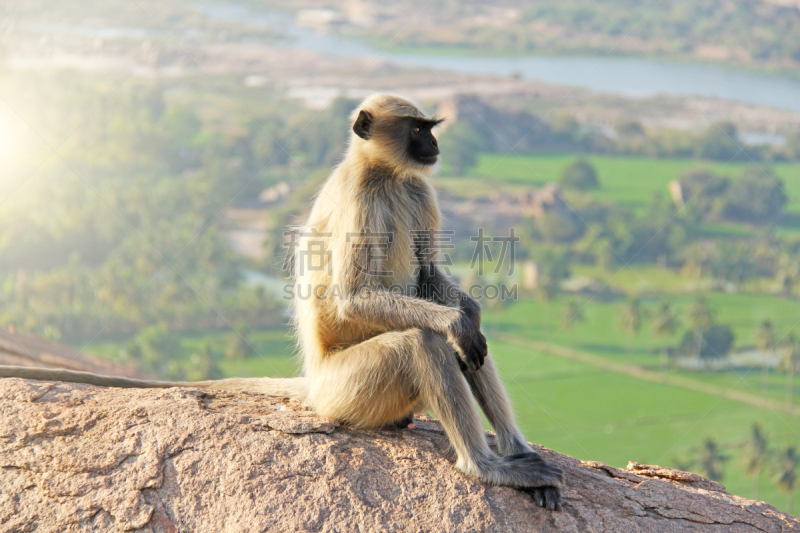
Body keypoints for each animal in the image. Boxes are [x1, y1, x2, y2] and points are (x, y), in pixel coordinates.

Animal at [0, 93, 564, 510]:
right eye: (416, 129)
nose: (434, 142)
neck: (383, 173)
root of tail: (314, 385)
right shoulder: (362, 195)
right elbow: (360, 300)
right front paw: (455, 321)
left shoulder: (419, 190)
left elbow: (430, 280)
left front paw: (471, 312)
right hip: (347, 392)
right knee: (423, 340)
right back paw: (485, 467)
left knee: (463, 346)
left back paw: (515, 451)